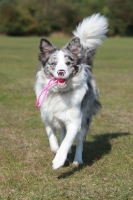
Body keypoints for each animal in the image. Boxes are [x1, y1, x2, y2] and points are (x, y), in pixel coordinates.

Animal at [34, 12, 108, 169]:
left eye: (68, 63)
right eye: (53, 63)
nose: (61, 72)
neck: (60, 93)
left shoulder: (75, 121)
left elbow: (68, 141)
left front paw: (58, 161)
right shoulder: (47, 117)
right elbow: (53, 139)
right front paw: (57, 150)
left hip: (85, 118)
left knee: (79, 141)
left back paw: (77, 160)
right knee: (62, 133)